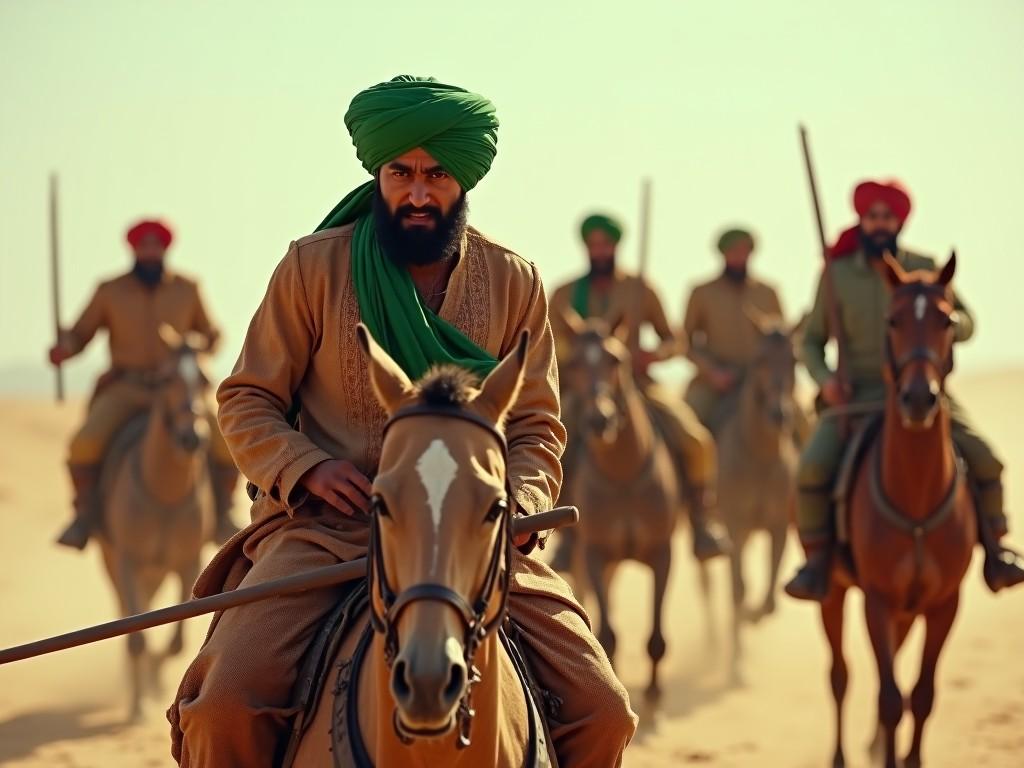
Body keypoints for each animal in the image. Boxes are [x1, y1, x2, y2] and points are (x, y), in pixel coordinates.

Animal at [98, 325, 215, 720]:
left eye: (205, 379)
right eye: (166, 379)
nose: (191, 436)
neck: (164, 496)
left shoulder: (189, 563)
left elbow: (176, 642)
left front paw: (157, 678)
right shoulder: (127, 562)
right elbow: (135, 634)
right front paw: (139, 705)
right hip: (116, 566)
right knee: (127, 616)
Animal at [557, 313, 675, 704]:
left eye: (616, 359)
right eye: (574, 364)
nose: (599, 419)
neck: (623, 476)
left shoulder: (662, 553)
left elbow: (656, 637)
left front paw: (654, 696)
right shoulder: (595, 552)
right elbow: (607, 634)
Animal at [819, 253, 970, 768]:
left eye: (948, 320)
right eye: (893, 320)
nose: (919, 397)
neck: (917, 497)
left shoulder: (945, 604)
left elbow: (921, 695)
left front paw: (910, 758)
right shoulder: (878, 602)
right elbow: (889, 698)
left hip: (909, 611)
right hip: (832, 595)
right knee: (840, 675)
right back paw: (841, 755)